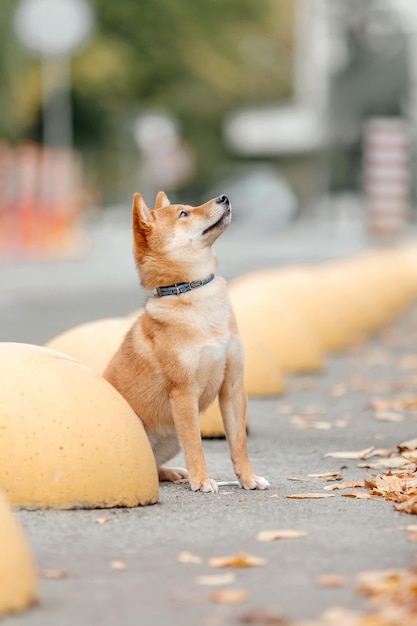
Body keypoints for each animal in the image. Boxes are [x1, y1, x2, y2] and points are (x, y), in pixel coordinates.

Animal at [102, 191, 268, 492]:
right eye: (183, 214)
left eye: (189, 208)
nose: (224, 197)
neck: (193, 291)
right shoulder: (184, 393)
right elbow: (195, 444)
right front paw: (202, 480)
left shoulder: (233, 386)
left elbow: (238, 443)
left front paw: (248, 479)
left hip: (169, 439)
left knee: (153, 468)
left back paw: (173, 472)